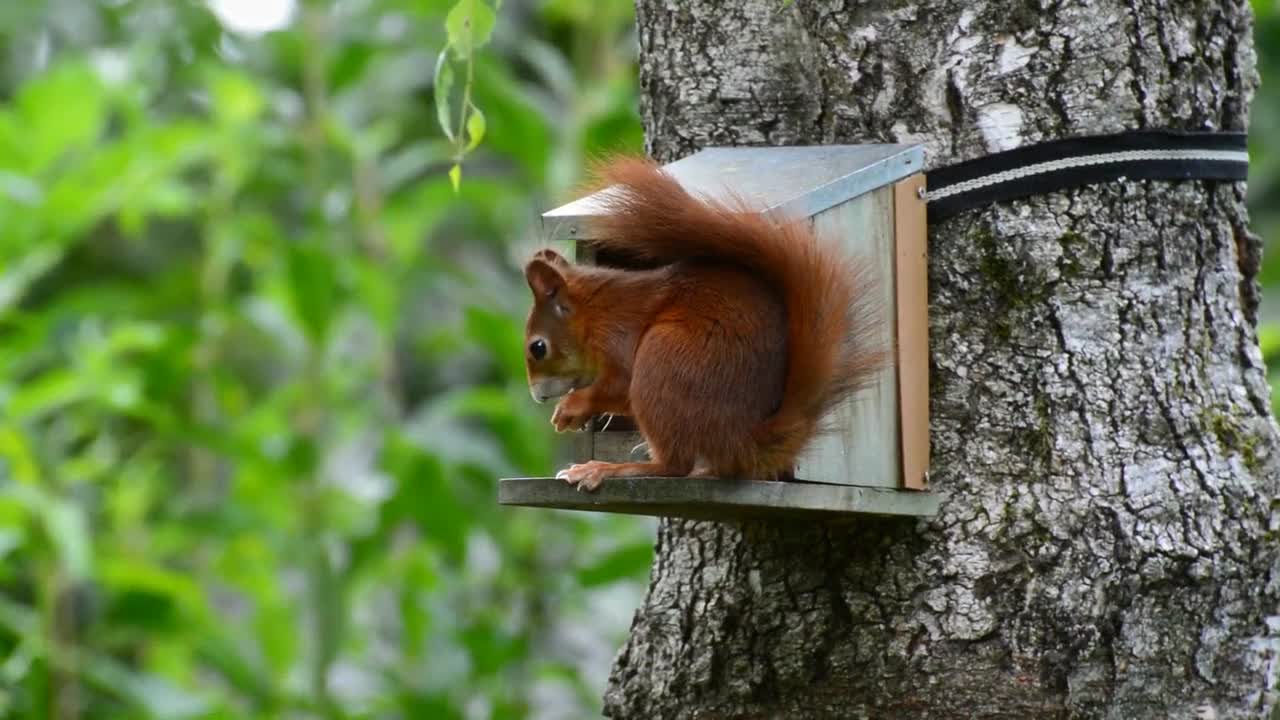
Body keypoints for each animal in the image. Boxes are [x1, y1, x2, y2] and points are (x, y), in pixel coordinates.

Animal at [517, 155, 880, 491]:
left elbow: (619, 385)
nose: (536, 396)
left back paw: (608, 468)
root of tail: (743, 442)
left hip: (663, 359)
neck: (593, 313)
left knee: (674, 466)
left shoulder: (618, 334)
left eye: (538, 348)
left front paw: (572, 407)